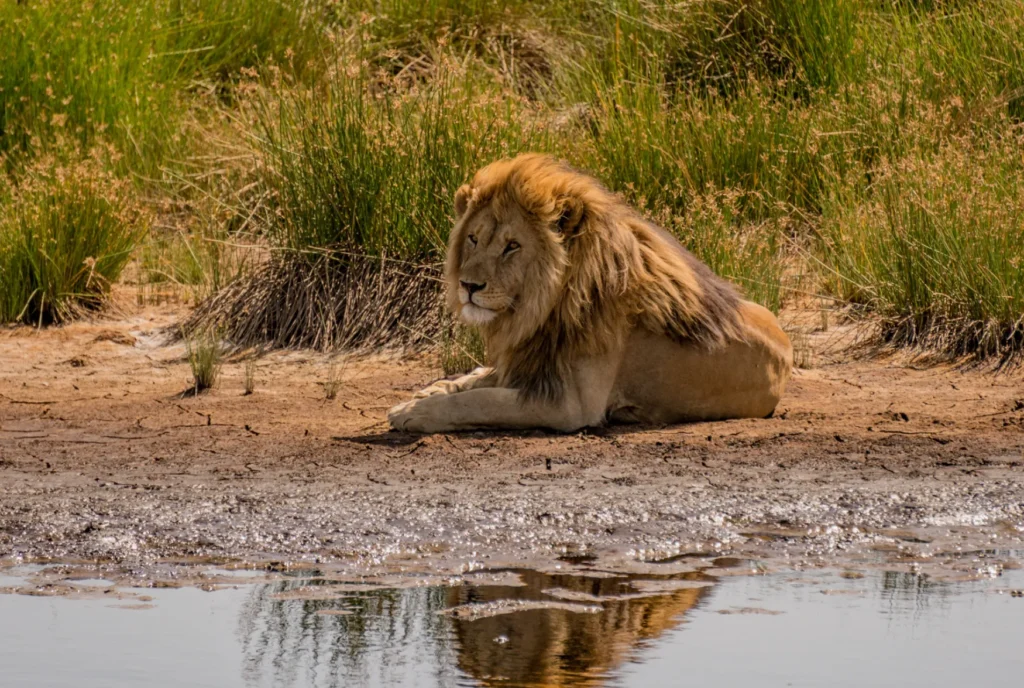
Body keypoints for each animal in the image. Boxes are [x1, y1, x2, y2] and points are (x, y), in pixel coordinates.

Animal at [388, 154, 792, 433]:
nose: (468, 286)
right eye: (473, 239)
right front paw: (429, 393)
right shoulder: (533, 364)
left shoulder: (570, 405)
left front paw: (413, 412)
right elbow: (477, 384)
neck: (544, 308)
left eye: (512, 246)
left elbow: (480, 402)